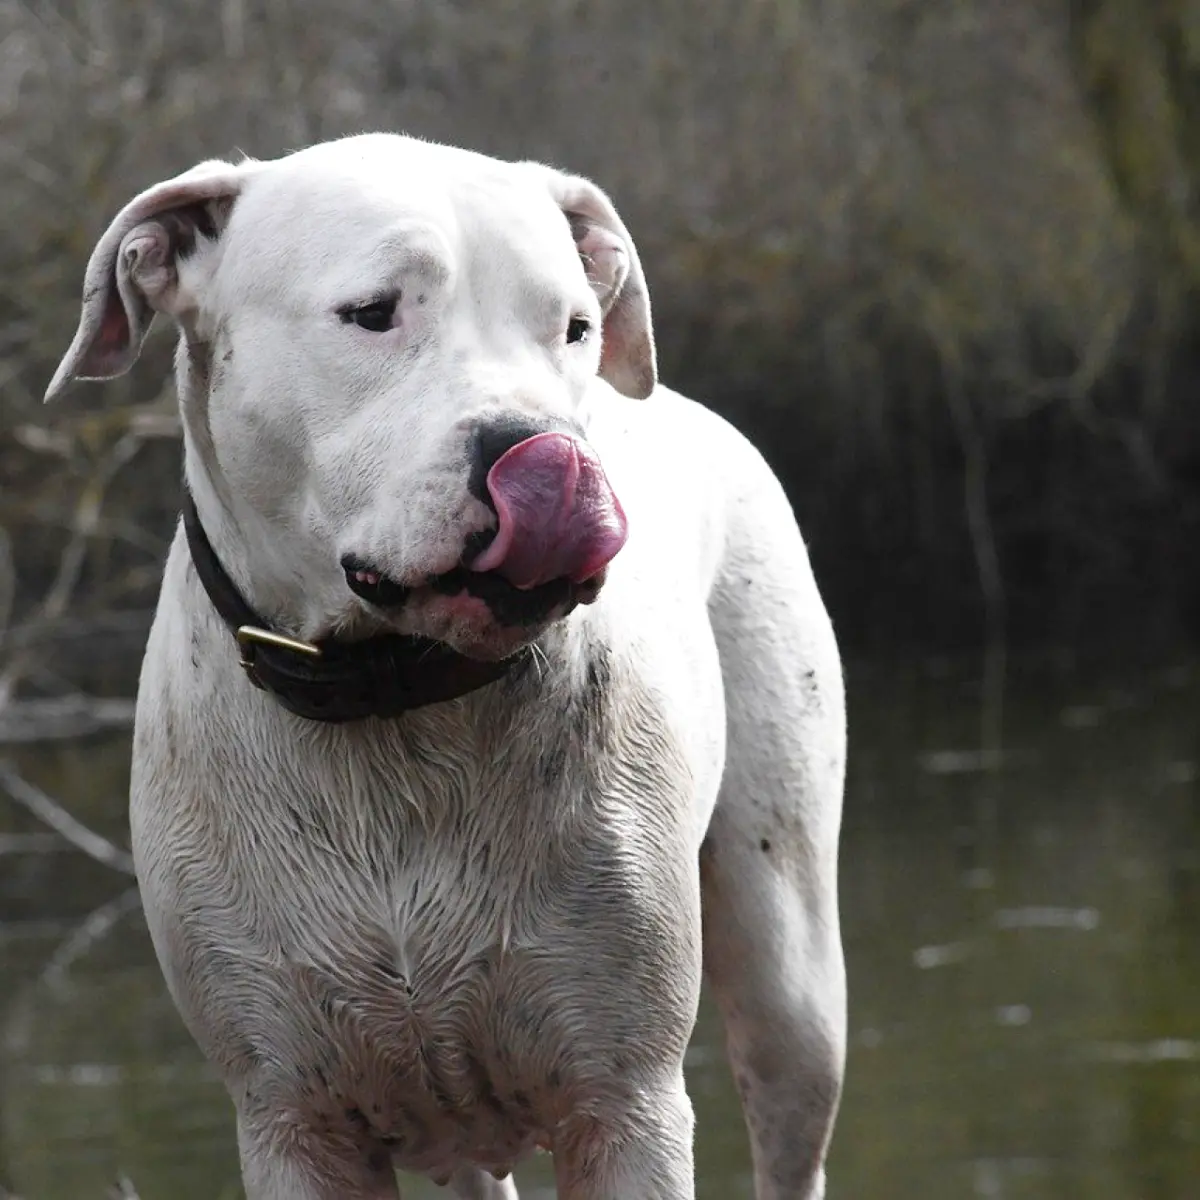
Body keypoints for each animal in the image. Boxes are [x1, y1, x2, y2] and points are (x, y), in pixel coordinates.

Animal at [46, 133, 849, 1200]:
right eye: (373, 312)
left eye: (576, 327)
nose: (540, 450)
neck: (396, 703)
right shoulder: (293, 1122)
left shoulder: (625, 1104)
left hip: (789, 967)